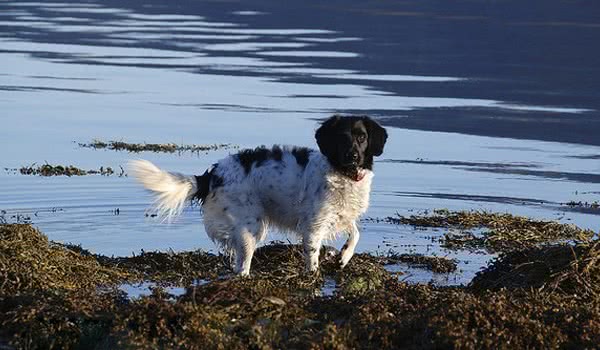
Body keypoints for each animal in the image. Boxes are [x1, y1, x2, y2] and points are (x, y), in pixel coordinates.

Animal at [130, 116, 390, 274]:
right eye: (342, 138)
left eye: (362, 137)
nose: (353, 156)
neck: (342, 173)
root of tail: (214, 173)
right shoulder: (313, 226)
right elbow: (313, 257)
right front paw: (314, 275)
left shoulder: (341, 215)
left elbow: (355, 232)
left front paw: (344, 256)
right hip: (250, 227)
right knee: (242, 268)